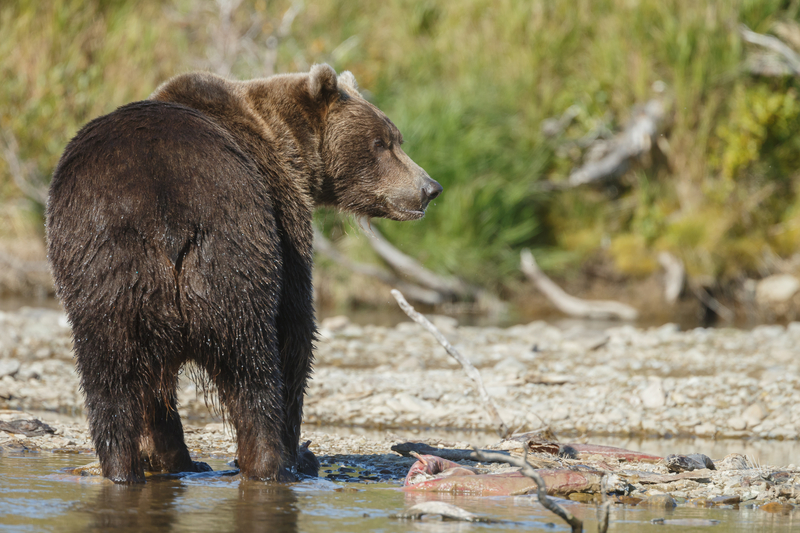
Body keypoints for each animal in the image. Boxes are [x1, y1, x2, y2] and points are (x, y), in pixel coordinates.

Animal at [46, 65, 440, 482]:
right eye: (381, 142)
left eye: (395, 138)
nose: (430, 188)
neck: (286, 143)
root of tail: (164, 217)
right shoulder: (283, 210)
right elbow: (296, 325)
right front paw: (300, 450)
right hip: (232, 249)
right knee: (252, 365)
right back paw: (272, 462)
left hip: (105, 265)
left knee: (110, 378)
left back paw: (128, 465)